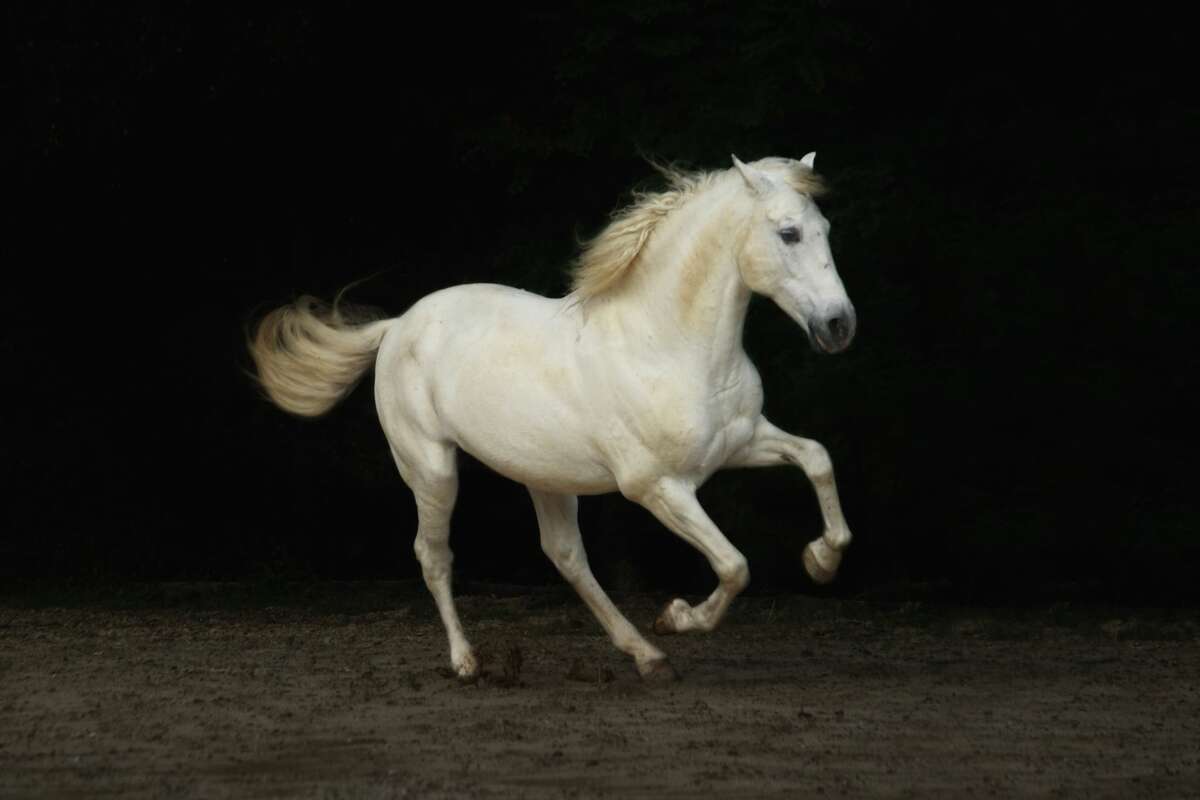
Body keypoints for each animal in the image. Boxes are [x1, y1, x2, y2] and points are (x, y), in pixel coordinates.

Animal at [250, 154, 854, 681]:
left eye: (826, 227)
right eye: (789, 233)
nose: (839, 325)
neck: (666, 343)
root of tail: (397, 325)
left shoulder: (741, 443)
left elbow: (818, 458)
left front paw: (820, 561)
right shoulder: (657, 487)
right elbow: (734, 565)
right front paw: (679, 616)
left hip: (545, 476)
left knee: (565, 556)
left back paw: (647, 656)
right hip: (430, 468)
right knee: (434, 555)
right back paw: (467, 662)